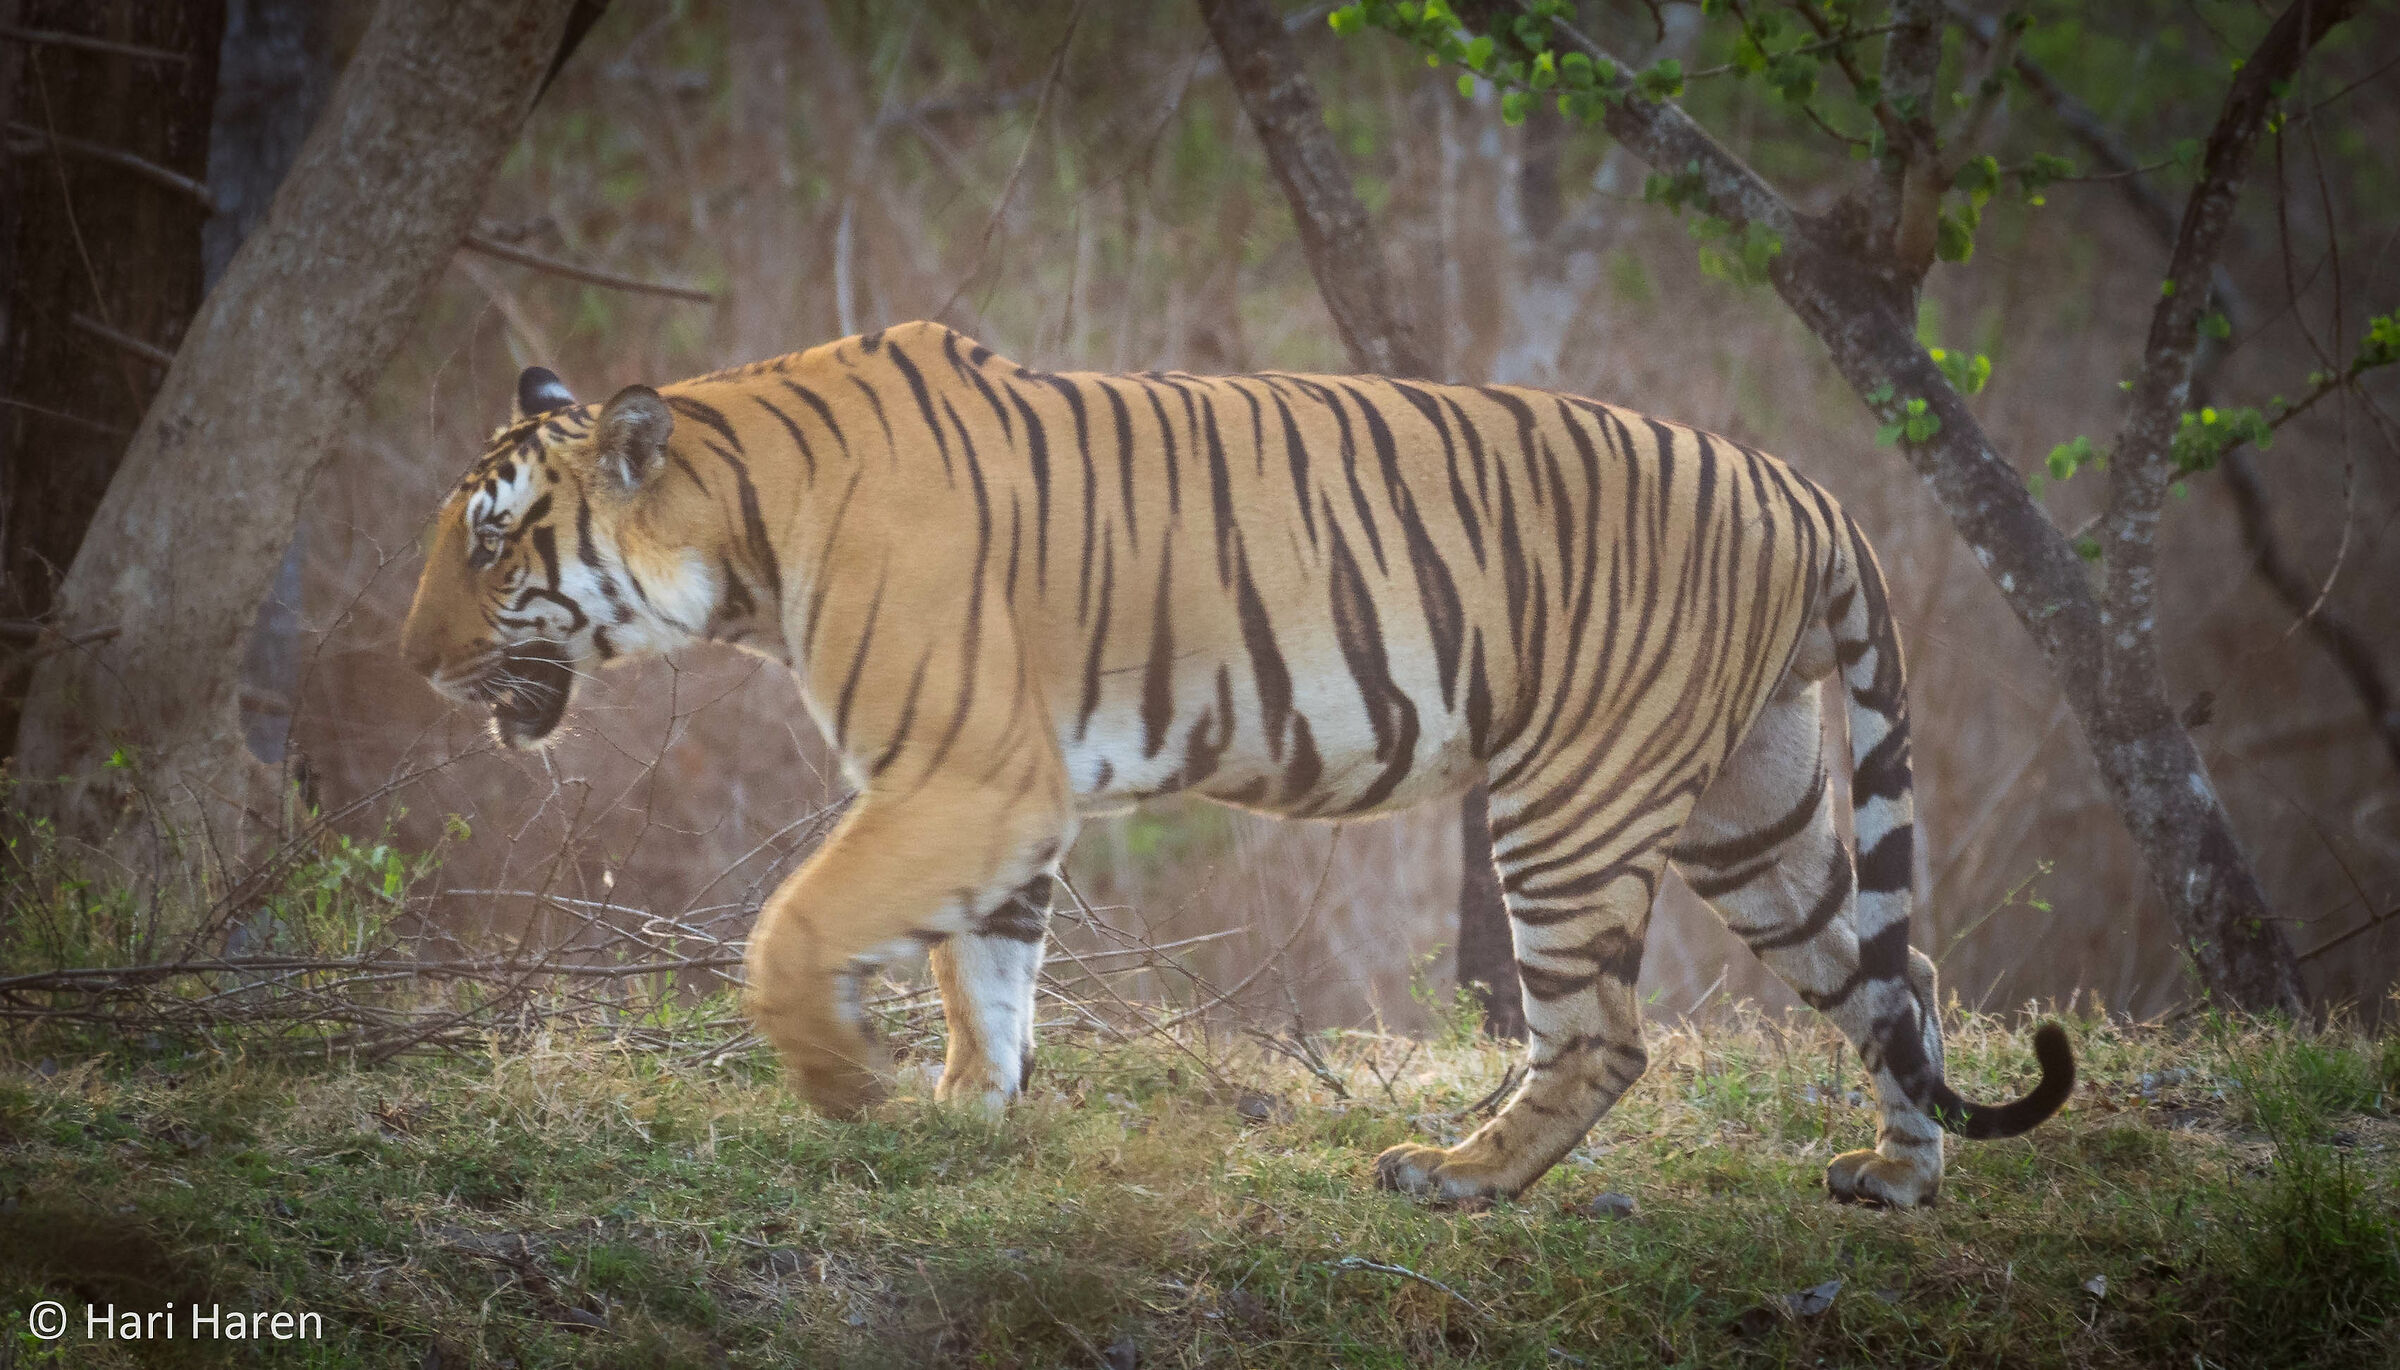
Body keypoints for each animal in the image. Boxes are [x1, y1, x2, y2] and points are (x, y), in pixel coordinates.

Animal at [401, 320, 2072, 1206]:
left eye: (489, 542)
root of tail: (1807, 489)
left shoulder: (964, 771)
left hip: (1572, 805)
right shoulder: (1006, 796)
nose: (411, 659)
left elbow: (795, 926)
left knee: (1603, 1035)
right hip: (1756, 808)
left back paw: (1455, 1174)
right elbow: (984, 970)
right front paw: (964, 1110)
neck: (746, 531)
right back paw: (1897, 1178)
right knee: (1897, 974)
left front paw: (841, 1084)